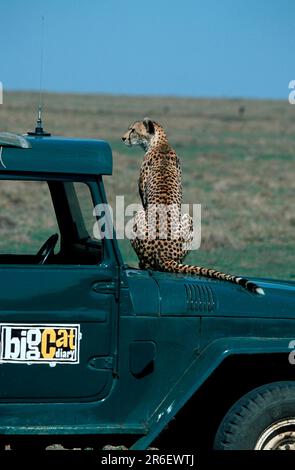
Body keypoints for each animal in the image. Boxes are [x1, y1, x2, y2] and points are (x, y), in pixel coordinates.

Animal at [121, 118, 264, 294]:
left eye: (133, 130)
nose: (123, 138)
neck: (160, 142)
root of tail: (165, 256)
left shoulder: (143, 196)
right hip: (186, 221)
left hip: (142, 216)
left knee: (148, 263)